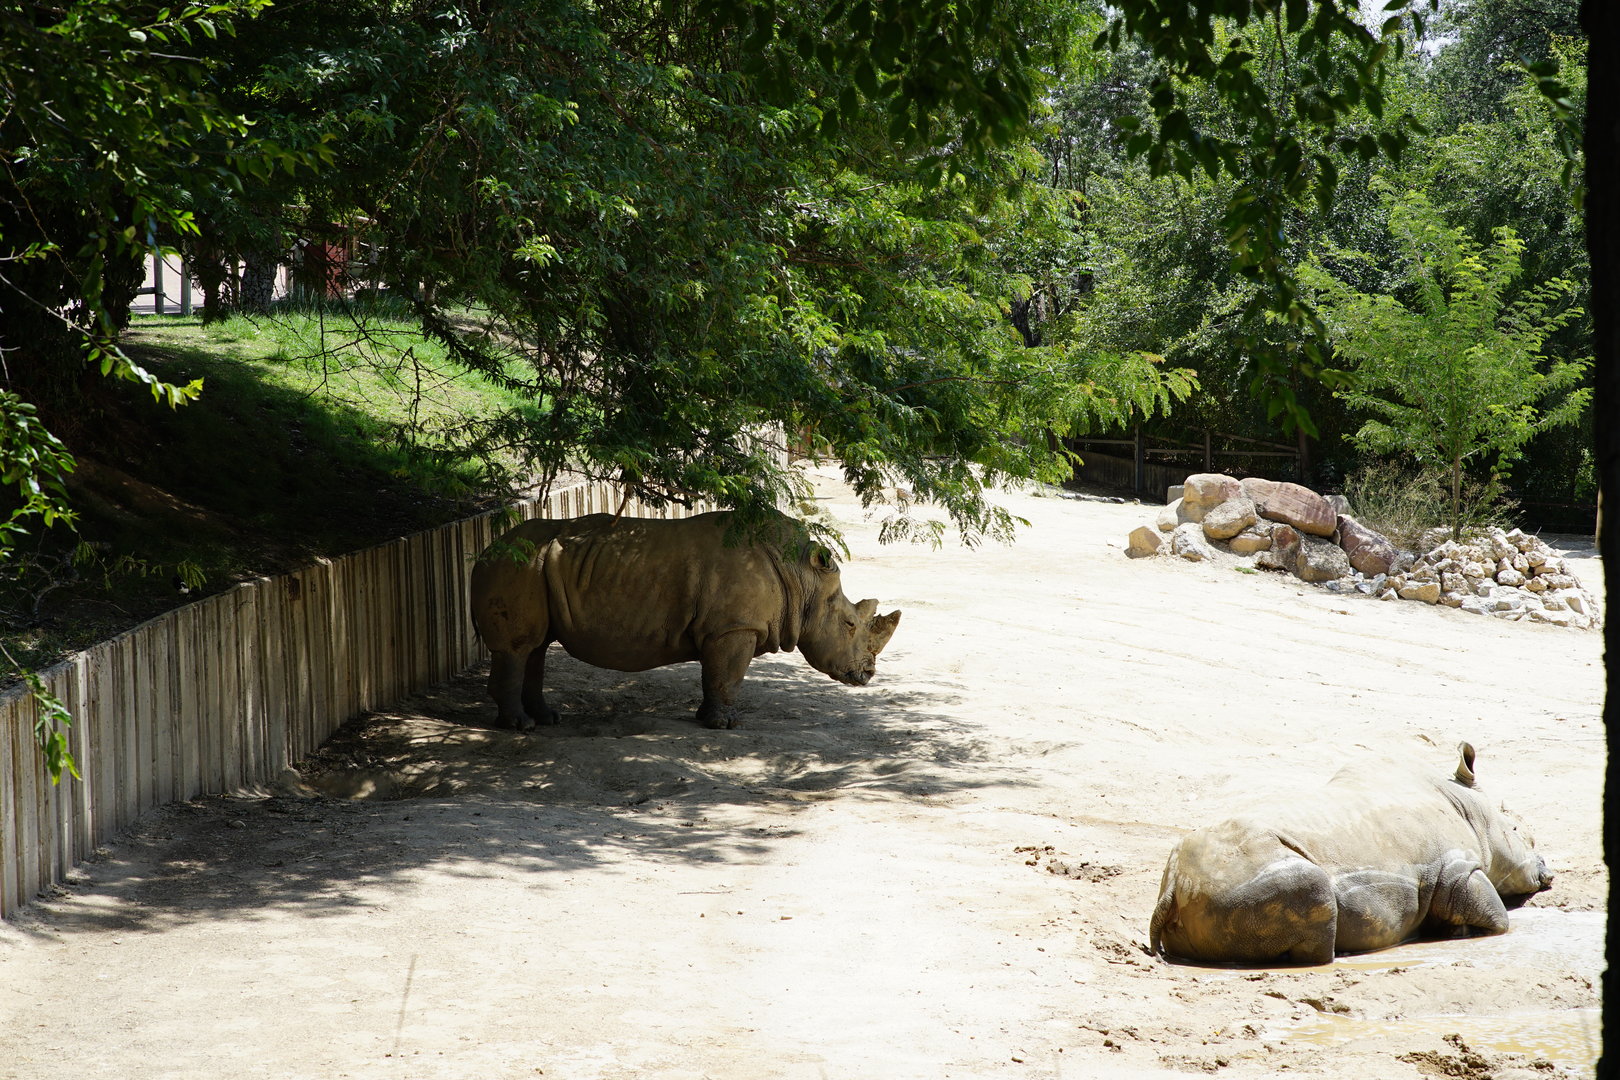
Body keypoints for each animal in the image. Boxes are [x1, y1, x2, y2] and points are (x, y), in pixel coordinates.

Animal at [469, 510, 900, 730]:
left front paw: (705, 718)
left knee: (536, 647)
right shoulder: (733, 627)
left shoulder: (725, 629)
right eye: (850, 625)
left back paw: (547, 719)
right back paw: (520, 727)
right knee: (520, 647)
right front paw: (724, 725)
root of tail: (486, 548)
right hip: (517, 564)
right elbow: (726, 676)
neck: (803, 577)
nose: (867, 674)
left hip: (530, 565)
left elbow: (717, 677)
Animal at [1149, 743, 1551, 965]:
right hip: (1239, 875)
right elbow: (1497, 920)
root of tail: (1173, 887)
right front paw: (1460, 931)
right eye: (1521, 833)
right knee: (1312, 889)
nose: (1547, 869)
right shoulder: (1455, 870)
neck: (1468, 808)